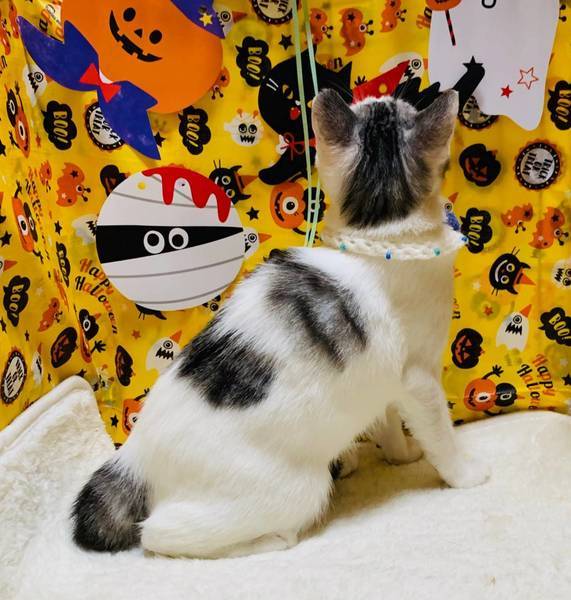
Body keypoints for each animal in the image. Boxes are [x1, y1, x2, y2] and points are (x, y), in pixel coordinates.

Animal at [72, 88, 490, 559]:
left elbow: (387, 422)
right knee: (159, 536)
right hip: (298, 489)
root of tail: (135, 457)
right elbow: (439, 433)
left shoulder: (384, 377)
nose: (380, 92)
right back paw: (273, 537)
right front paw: (462, 473)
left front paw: (399, 455)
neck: (379, 238)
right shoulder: (419, 379)